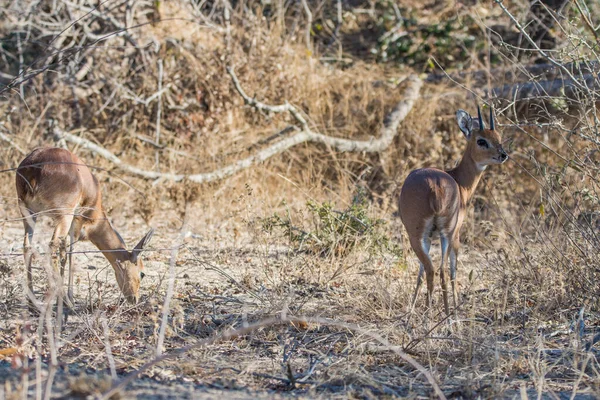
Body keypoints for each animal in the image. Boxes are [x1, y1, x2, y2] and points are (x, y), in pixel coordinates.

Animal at [16, 148, 154, 304]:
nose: (134, 299)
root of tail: (34, 167)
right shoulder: (76, 222)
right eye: (142, 273)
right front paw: (68, 297)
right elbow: (70, 254)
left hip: (29, 213)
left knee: (27, 245)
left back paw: (32, 301)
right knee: (51, 247)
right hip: (64, 216)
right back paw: (66, 301)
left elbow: (64, 253)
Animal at [398, 106, 506, 316]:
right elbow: (454, 271)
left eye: (498, 136)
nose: (503, 155)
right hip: (443, 234)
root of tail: (435, 185)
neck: (459, 181)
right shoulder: (456, 234)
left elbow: (420, 273)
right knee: (442, 271)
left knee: (432, 270)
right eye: (481, 140)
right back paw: (446, 317)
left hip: (422, 236)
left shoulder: (430, 238)